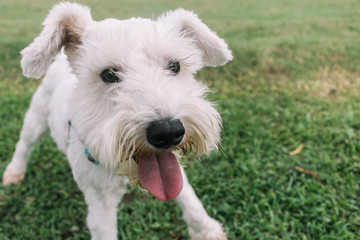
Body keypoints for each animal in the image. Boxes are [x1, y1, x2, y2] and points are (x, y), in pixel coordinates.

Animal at [2, 2, 233, 240]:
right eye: (109, 74)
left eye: (174, 66)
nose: (168, 131)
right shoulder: (100, 202)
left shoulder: (174, 171)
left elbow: (190, 200)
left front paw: (207, 230)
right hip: (36, 119)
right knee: (24, 145)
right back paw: (14, 172)